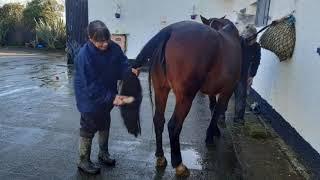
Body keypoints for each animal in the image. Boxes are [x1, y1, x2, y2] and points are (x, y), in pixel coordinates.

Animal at [131, 15, 241, 176]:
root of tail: (171, 29)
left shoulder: (214, 92)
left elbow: (213, 108)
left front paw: (214, 131)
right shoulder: (227, 90)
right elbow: (217, 111)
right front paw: (211, 135)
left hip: (161, 89)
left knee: (158, 120)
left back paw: (160, 156)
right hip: (185, 97)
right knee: (174, 125)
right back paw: (178, 164)